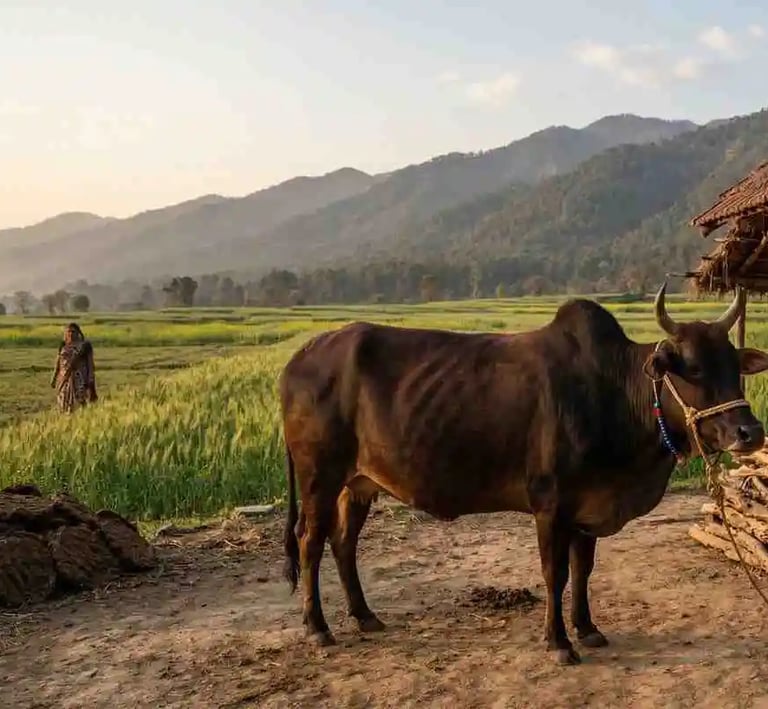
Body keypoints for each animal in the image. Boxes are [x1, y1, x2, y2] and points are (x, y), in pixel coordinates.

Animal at [279, 284, 768, 665]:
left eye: (733, 366)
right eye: (693, 368)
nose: (749, 432)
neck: (613, 393)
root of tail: (298, 358)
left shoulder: (588, 508)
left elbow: (583, 569)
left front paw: (588, 628)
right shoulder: (549, 505)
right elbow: (556, 573)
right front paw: (559, 642)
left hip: (358, 484)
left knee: (343, 542)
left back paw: (364, 616)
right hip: (319, 477)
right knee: (310, 541)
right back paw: (318, 628)